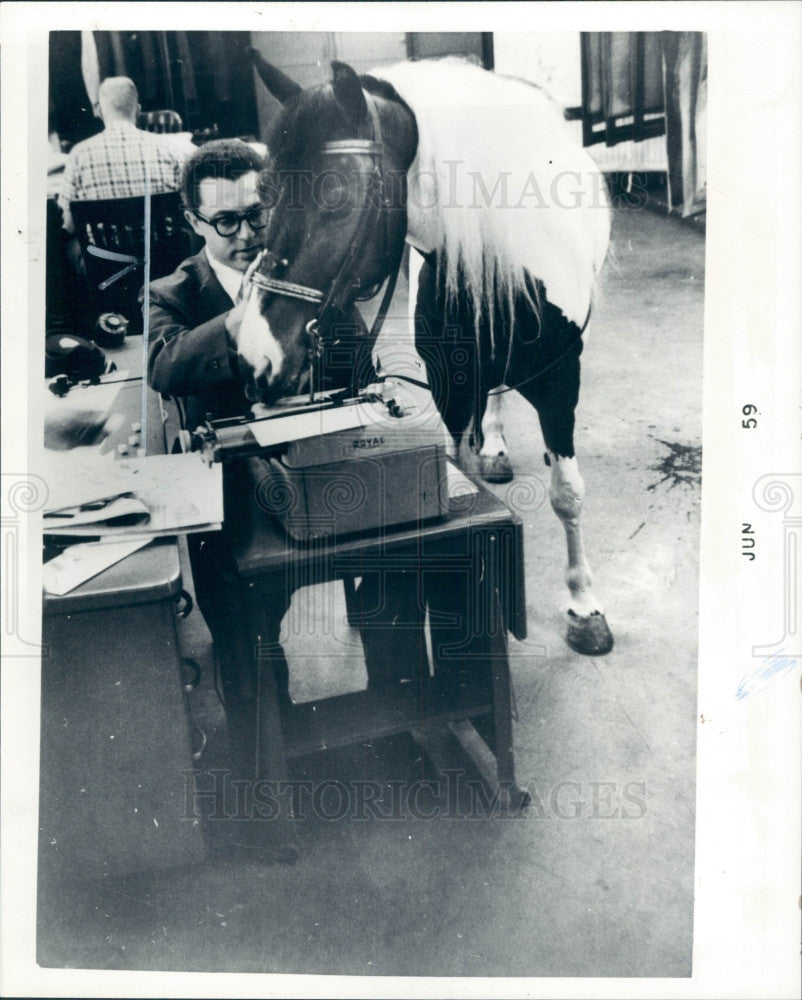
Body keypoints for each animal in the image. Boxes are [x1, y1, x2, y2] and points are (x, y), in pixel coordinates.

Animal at [238, 52, 612, 656]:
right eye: (265, 194)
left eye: (338, 197)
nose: (256, 356)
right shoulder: (450, 384)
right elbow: (461, 466)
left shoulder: (561, 384)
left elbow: (567, 495)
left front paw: (584, 605)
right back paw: (497, 445)